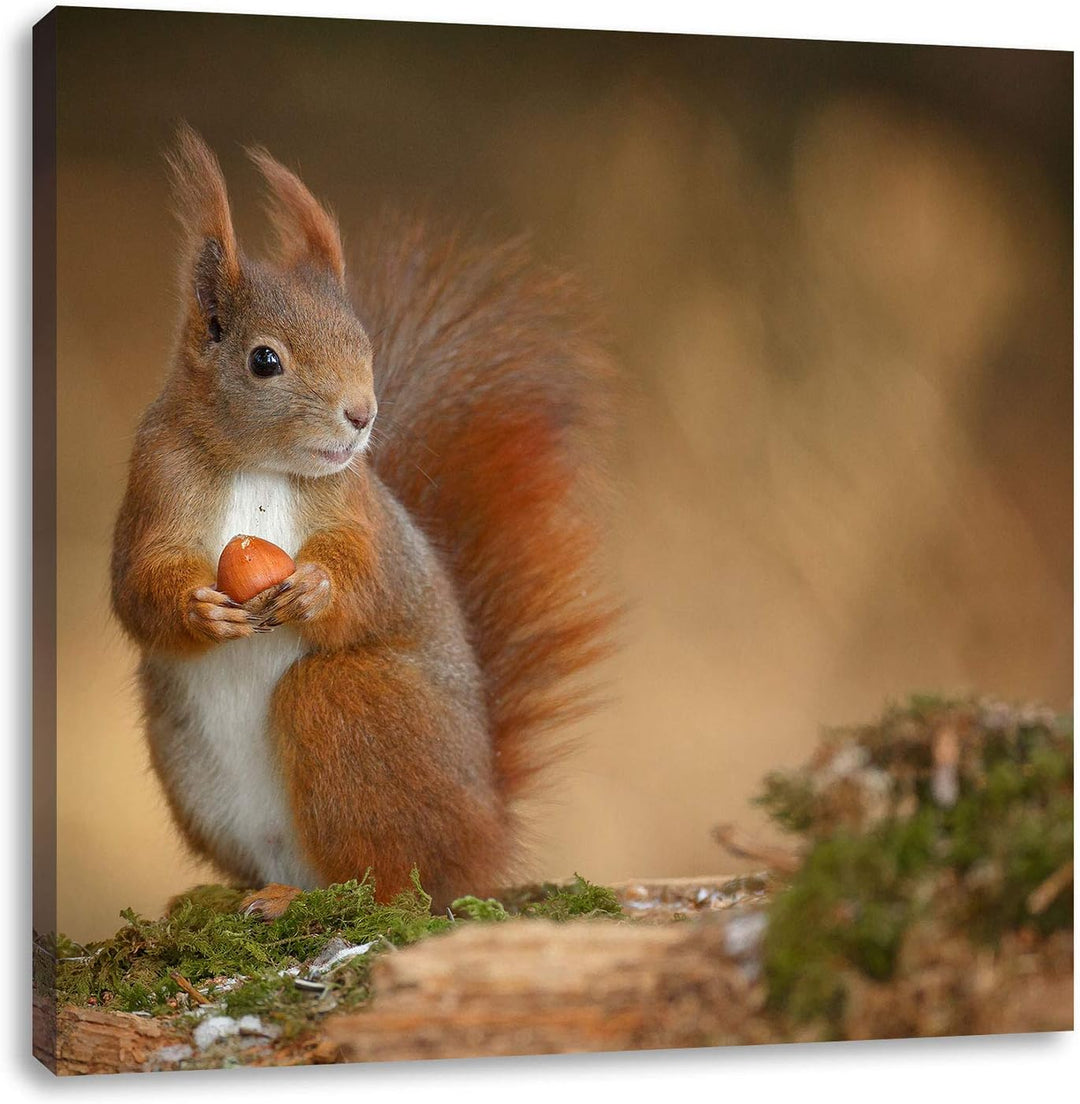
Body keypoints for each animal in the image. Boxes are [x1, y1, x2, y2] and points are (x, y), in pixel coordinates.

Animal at [110, 124, 616, 919]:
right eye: (264, 360)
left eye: (363, 343)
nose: (362, 414)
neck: (258, 465)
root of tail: (485, 837)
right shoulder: (154, 484)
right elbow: (137, 586)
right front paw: (198, 609)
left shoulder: (361, 510)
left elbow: (371, 577)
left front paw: (317, 588)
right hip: (189, 763)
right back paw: (249, 897)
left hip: (355, 708)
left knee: (388, 877)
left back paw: (316, 899)